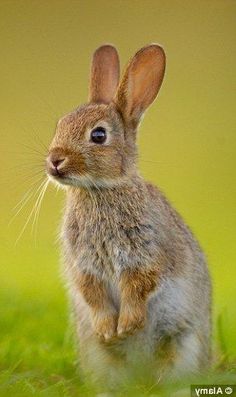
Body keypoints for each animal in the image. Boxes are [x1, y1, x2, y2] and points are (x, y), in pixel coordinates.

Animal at [45, 43, 211, 390]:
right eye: (60, 124)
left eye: (98, 136)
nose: (54, 160)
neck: (100, 190)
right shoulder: (84, 265)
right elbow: (92, 292)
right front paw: (109, 329)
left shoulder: (145, 254)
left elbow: (139, 287)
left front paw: (127, 325)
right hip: (97, 355)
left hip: (183, 343)